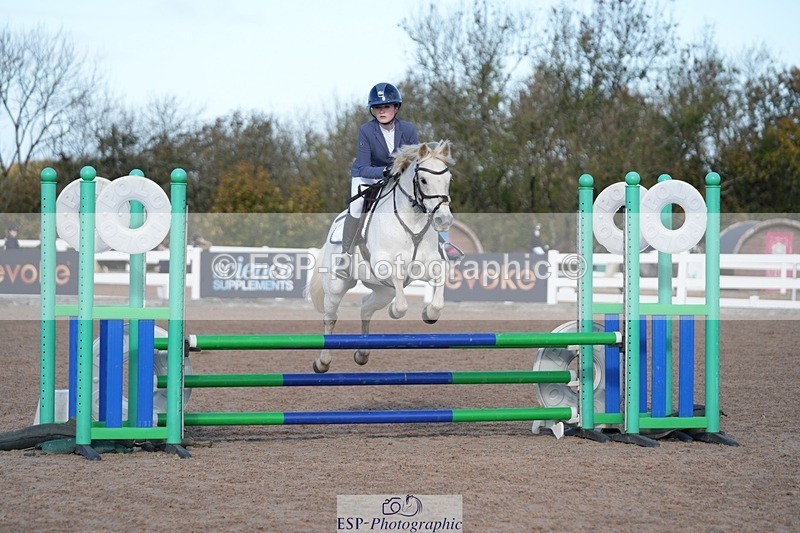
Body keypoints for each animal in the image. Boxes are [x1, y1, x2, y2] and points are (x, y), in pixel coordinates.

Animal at [306, 140, 455, 373]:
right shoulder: (385, 266)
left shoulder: (431, 265)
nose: (443, 220)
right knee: (330, 318)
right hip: (337, 286)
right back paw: (322, 362)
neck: (412, 221)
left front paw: (429, 314)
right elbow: (400, 300)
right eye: (423, 180)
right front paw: (395, 312)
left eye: (448, 179)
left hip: (383, 290)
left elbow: (438, 293)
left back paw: (362, 354)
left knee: (366, 307)